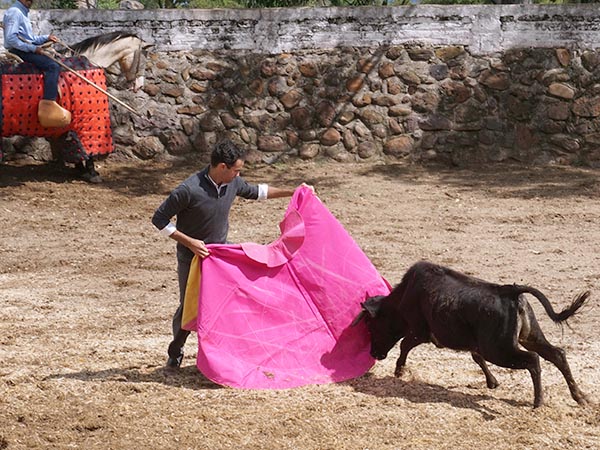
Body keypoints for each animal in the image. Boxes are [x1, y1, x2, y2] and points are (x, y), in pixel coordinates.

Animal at [0, 30, 154, 183]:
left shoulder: (71, 126)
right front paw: (92, 173)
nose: (140, 85)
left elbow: (73, 146)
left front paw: (81, 170)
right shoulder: (88, 125)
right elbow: (87, 151)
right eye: (144, 59)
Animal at [352, 260, 592, 408]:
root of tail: (511, 291)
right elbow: (477, 358)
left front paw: (399, 371)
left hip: (500, 350)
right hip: (529, 337)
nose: (374, 353)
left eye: (372, 326)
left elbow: (405, 345)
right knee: (557, 354)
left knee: (533, 359)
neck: (403, 296)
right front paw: (492, 382)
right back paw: (580, 397)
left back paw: (538, 401)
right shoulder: (471, 342)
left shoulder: (420, 331)